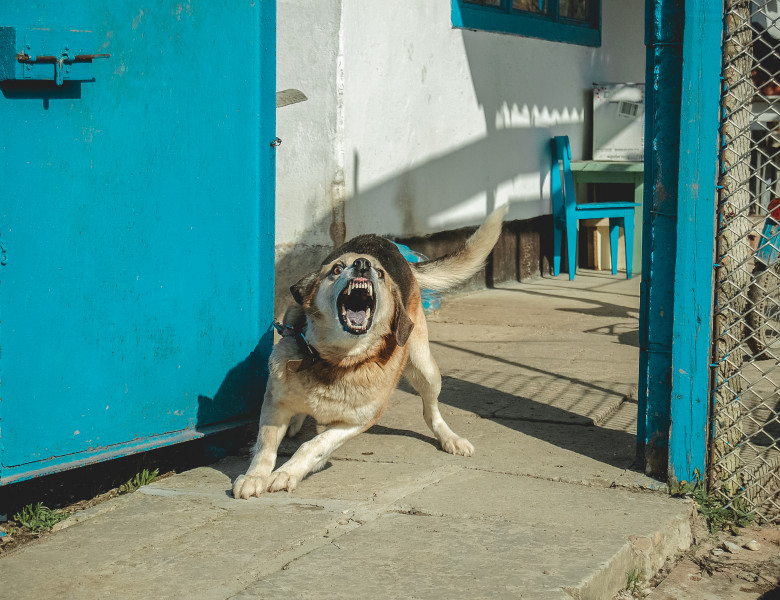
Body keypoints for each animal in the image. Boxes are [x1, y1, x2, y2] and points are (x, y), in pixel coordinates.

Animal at [232, 206, 508, 496]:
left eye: (380, 273)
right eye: (337, 268)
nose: (362, 264)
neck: (336, 360)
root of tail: (386, 243)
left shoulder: (356, 422)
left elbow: (314, 445)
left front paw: (287, 473)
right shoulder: (274, 403)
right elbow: (265, 446)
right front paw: (254, 476)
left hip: (425, 369)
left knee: (431, 412)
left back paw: (451, 439)